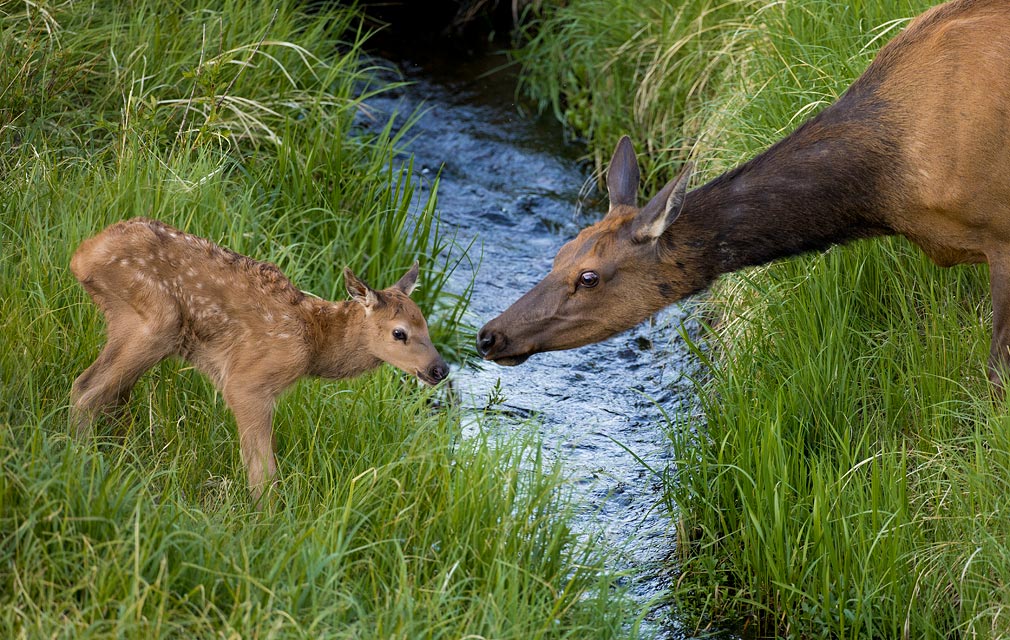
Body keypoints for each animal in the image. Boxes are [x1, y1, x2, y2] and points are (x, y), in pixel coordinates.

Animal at [70, 217, 448, 500]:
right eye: (399, 333)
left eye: (427, 325)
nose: (440, 369)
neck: (315, 343)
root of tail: (82, 254)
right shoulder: (248, 382)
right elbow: (263, 470)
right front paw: (266, 520)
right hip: (157, 320)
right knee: (87, 389)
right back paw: (81, 457)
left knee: (106, 392)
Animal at [477, 0, 1010, 390]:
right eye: (560, 252)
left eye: (588, 277)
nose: (489, 335)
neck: (889, 187)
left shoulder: (1000, 233)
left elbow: (995, 372)